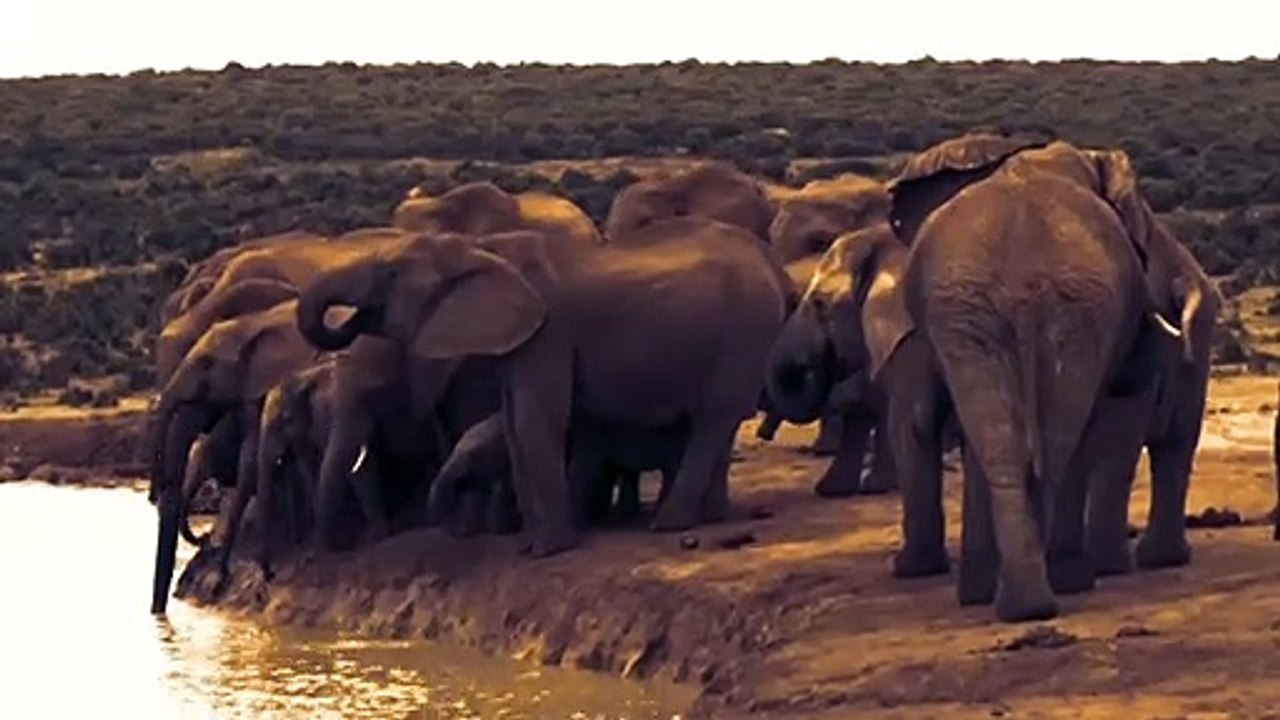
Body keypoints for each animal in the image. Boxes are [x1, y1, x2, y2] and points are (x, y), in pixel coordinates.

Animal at [150, 299, 325, 614]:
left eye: (206, 364)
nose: (204, 538)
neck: (250, 324)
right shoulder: (251, 393)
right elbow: (254, 456)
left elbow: (251, 461)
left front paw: (219, 576)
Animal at [296, 219, 790, 556]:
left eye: (392, 274)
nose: (347, 322)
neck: (483, 250)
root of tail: (772, 264)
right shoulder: (519, 342)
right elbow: (516, 425)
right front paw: (528, 545)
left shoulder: (548, 334)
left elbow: (537, 419)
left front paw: (550, 549)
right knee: (717, 423)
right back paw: (711, 517)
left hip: (744, 330)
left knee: (713, 418)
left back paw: (670, 524)